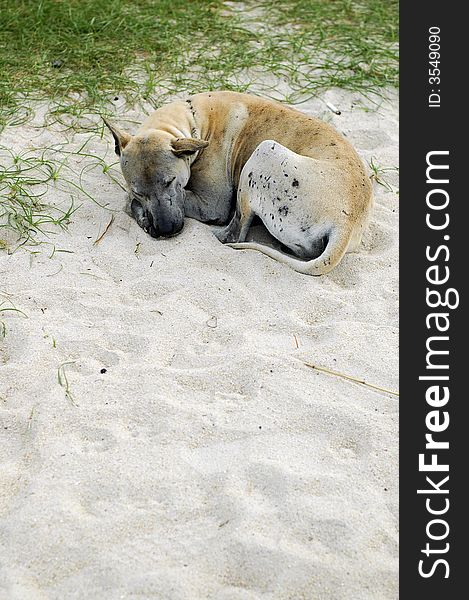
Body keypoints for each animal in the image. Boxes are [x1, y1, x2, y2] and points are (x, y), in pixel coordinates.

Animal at [104, 91, 372, 274]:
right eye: (140, 192)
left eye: (171, 182)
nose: (165, 230)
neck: (191, 121)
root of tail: (346, 223)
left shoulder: (212, 204)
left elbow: (130, 202)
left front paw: (140, 214)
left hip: (264, 152)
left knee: (235, 234)